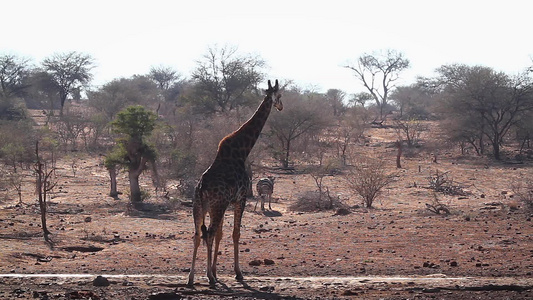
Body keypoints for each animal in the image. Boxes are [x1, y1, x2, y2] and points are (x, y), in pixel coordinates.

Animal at [187, 78, 282, 284]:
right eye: (279, 95)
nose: (281, 106)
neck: (242, 151)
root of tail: (201, 188)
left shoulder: (225, 204)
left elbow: (221, 234)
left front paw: (216, 271)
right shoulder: (240, 198)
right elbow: (235, 233)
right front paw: (237, 273)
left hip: (199, 206)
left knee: (198, 235)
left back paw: (191, 279)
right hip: (216, 205)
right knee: (209, 233)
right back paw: (209, 278)